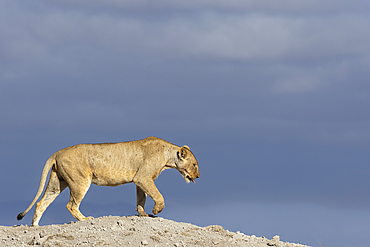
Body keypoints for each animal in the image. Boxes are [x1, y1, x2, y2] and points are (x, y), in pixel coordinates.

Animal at [17, 137, 199, 226]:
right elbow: (158, 195)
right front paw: (156, 210)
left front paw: (143, 214)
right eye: (195, 165)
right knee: (71, 205)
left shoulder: (140, 180)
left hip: (57, 182)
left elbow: (141, 198)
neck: (168, 157)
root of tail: (57, 152)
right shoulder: (143, 177)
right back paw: (84, 219)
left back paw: (35, 226)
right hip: (80, 181)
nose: (198, 177)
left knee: (41, 203)